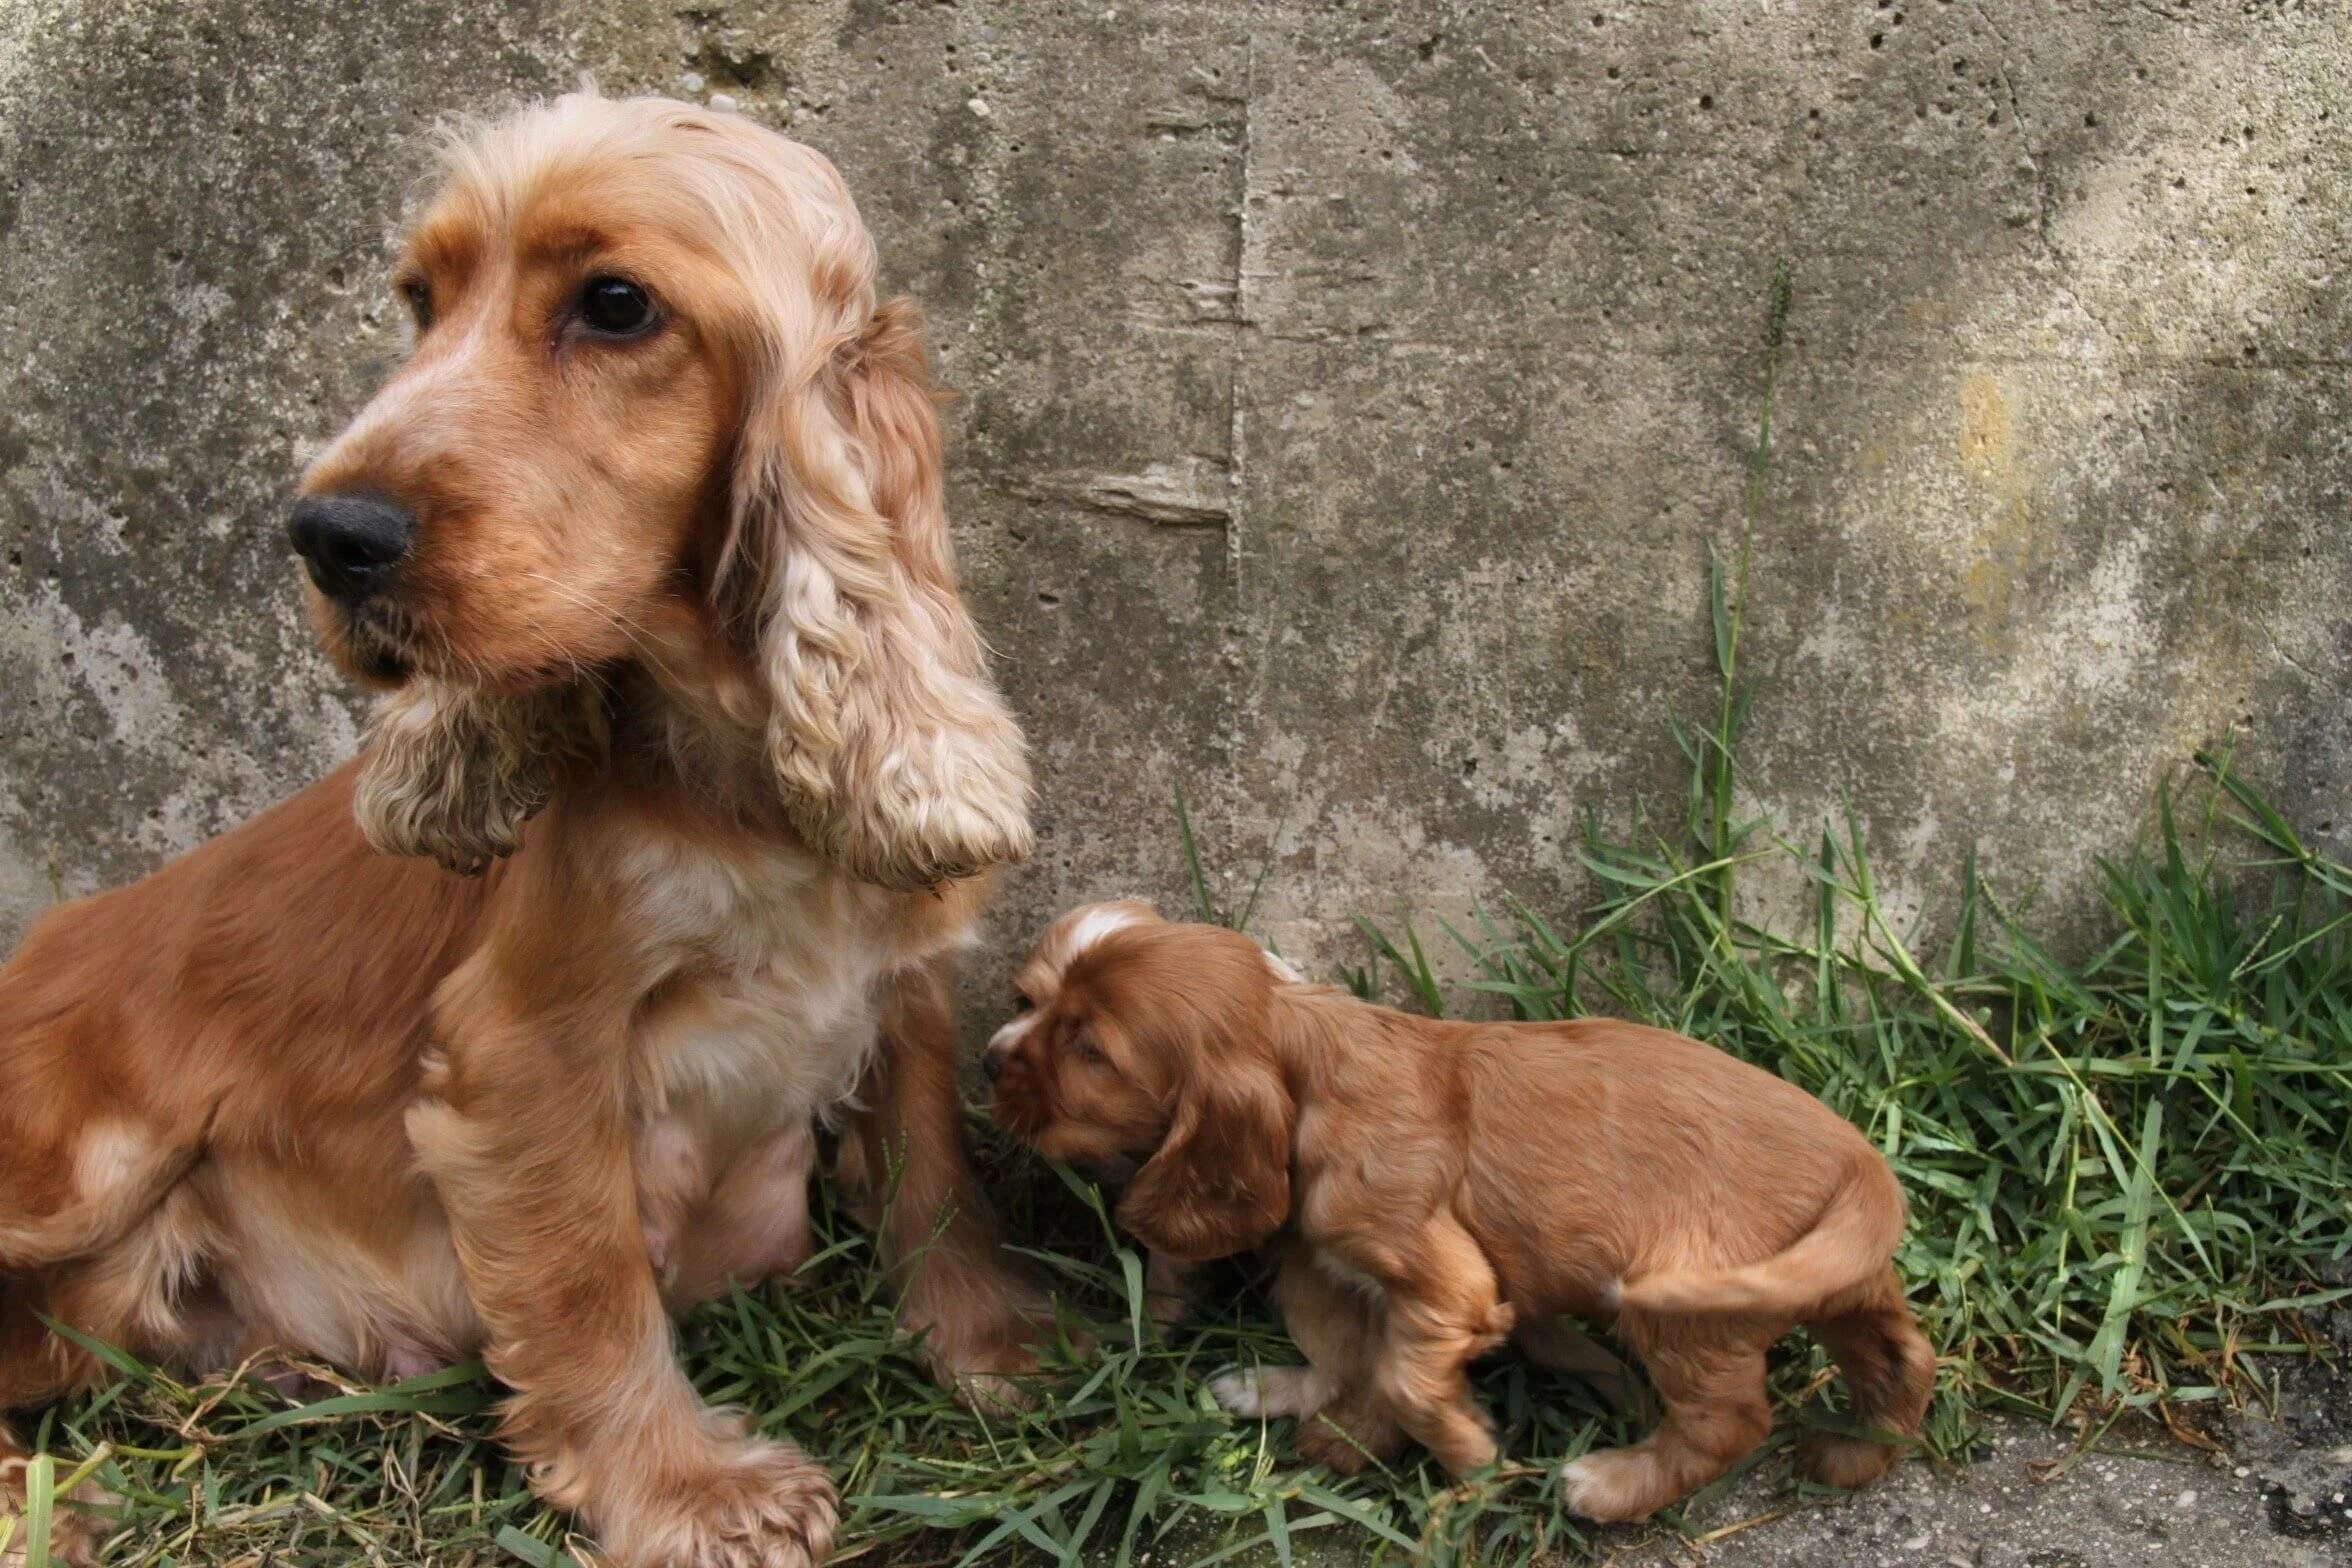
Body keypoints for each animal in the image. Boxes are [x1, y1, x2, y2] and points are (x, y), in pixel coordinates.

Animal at [0, 95, 1048, 1568]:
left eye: (614, 305)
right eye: (419, 300)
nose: (326, 533)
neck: (727, 775)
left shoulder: (901, 980)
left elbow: (931, 1169)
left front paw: (999, 1342)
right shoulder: (524, 1051)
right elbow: (584, 1281)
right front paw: (687, 1488)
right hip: (80, 1160)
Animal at [987, 902, 1928, 1523]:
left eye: (1088, 1050)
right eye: (1024, 999)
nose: (992, 1060)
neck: (1313, 1053)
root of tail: (1860, 1161)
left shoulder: (1444, 1280)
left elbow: (1402, 1376)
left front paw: (1466, 1448)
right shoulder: (1328, 1263)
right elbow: (1345, 1353)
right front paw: (1290, 1397)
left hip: (1691, 1314)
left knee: (1729, 1421)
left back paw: (1612, 1485)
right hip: (1829, 1283)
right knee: (1899, 1355)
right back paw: (1858, 1454)